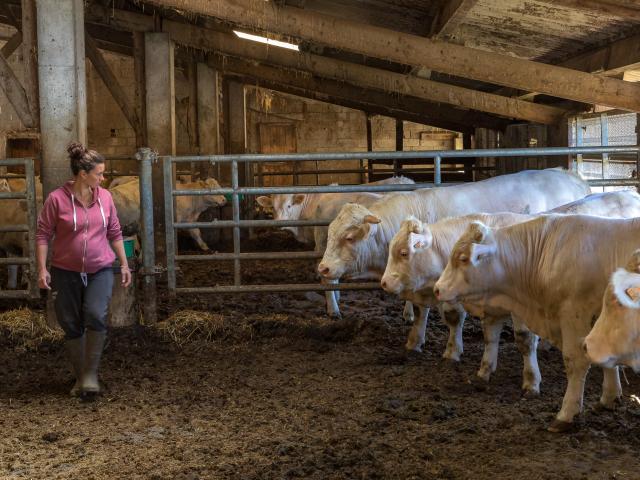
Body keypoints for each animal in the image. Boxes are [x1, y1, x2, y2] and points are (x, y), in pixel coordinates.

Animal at [318, 167, 592, 358]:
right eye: (329, 233)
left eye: (349, 237)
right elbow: (420, 309)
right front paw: (414, 341)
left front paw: (452, 350)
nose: (323, 267)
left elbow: (453, 315)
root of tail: (569, 175)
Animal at [432, 215, 640, 432]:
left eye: (463, 258)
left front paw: (566, 414)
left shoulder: (574, 316)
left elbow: (575, 362)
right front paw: (609, 398)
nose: (437, 289)